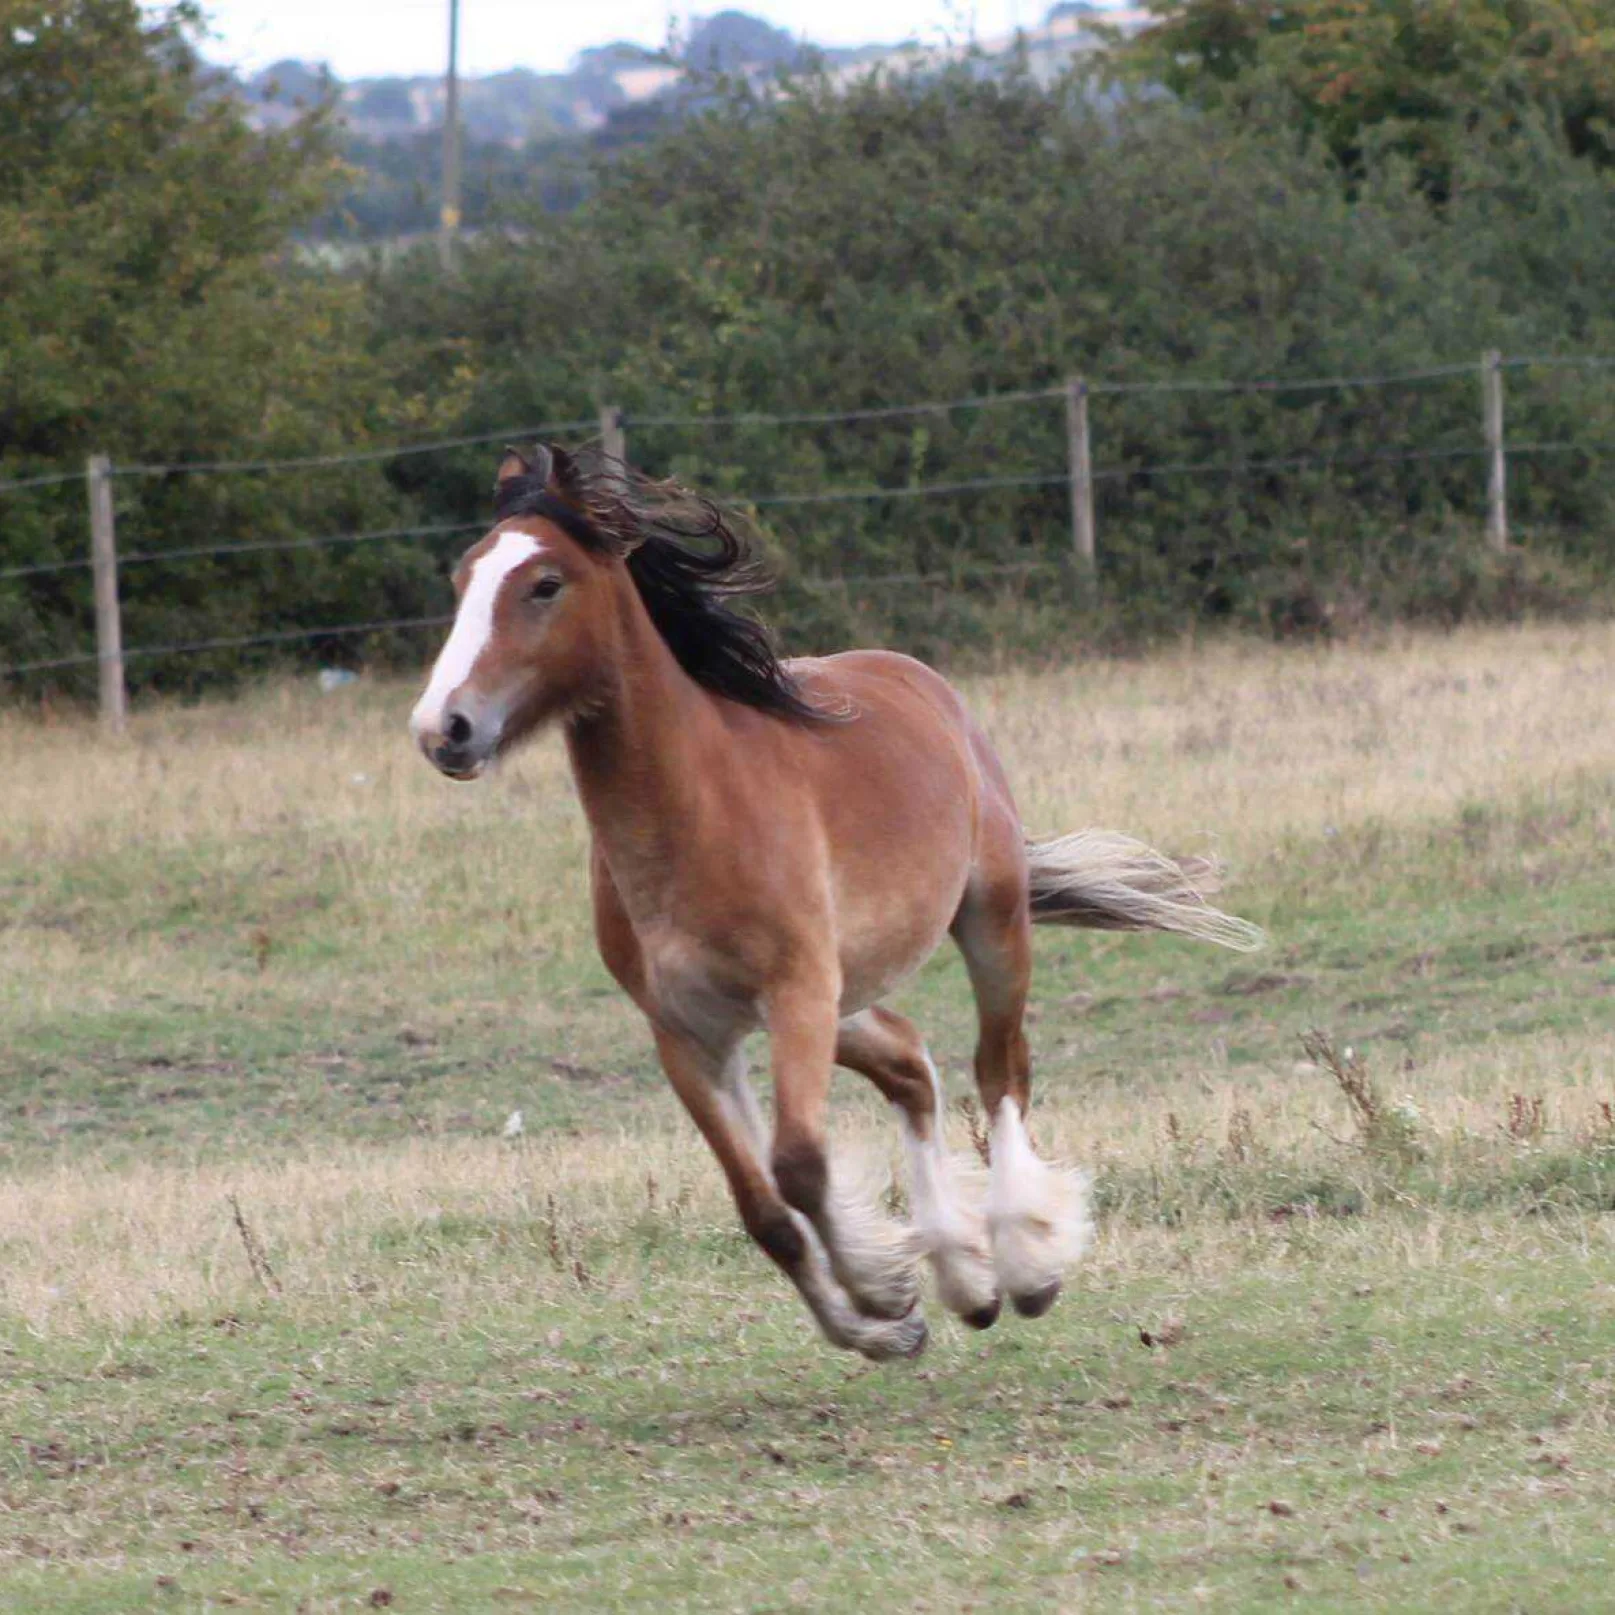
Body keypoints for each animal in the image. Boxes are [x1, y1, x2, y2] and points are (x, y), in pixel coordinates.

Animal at [409, 444, 1261, 1360]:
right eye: (461, 579)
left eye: (544, 583)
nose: (443, 728)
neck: (697, 813)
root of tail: (920, 678)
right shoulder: (689, 1032)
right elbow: (764, 1207)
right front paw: (885, 1324)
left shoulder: (795, 995)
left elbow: (798, 1165)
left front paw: (883, 1288)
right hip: (846, 995)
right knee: (910, 1064)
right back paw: (966, 1279)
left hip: (985, 923)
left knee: (999, 1070)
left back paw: (1023, 1266)